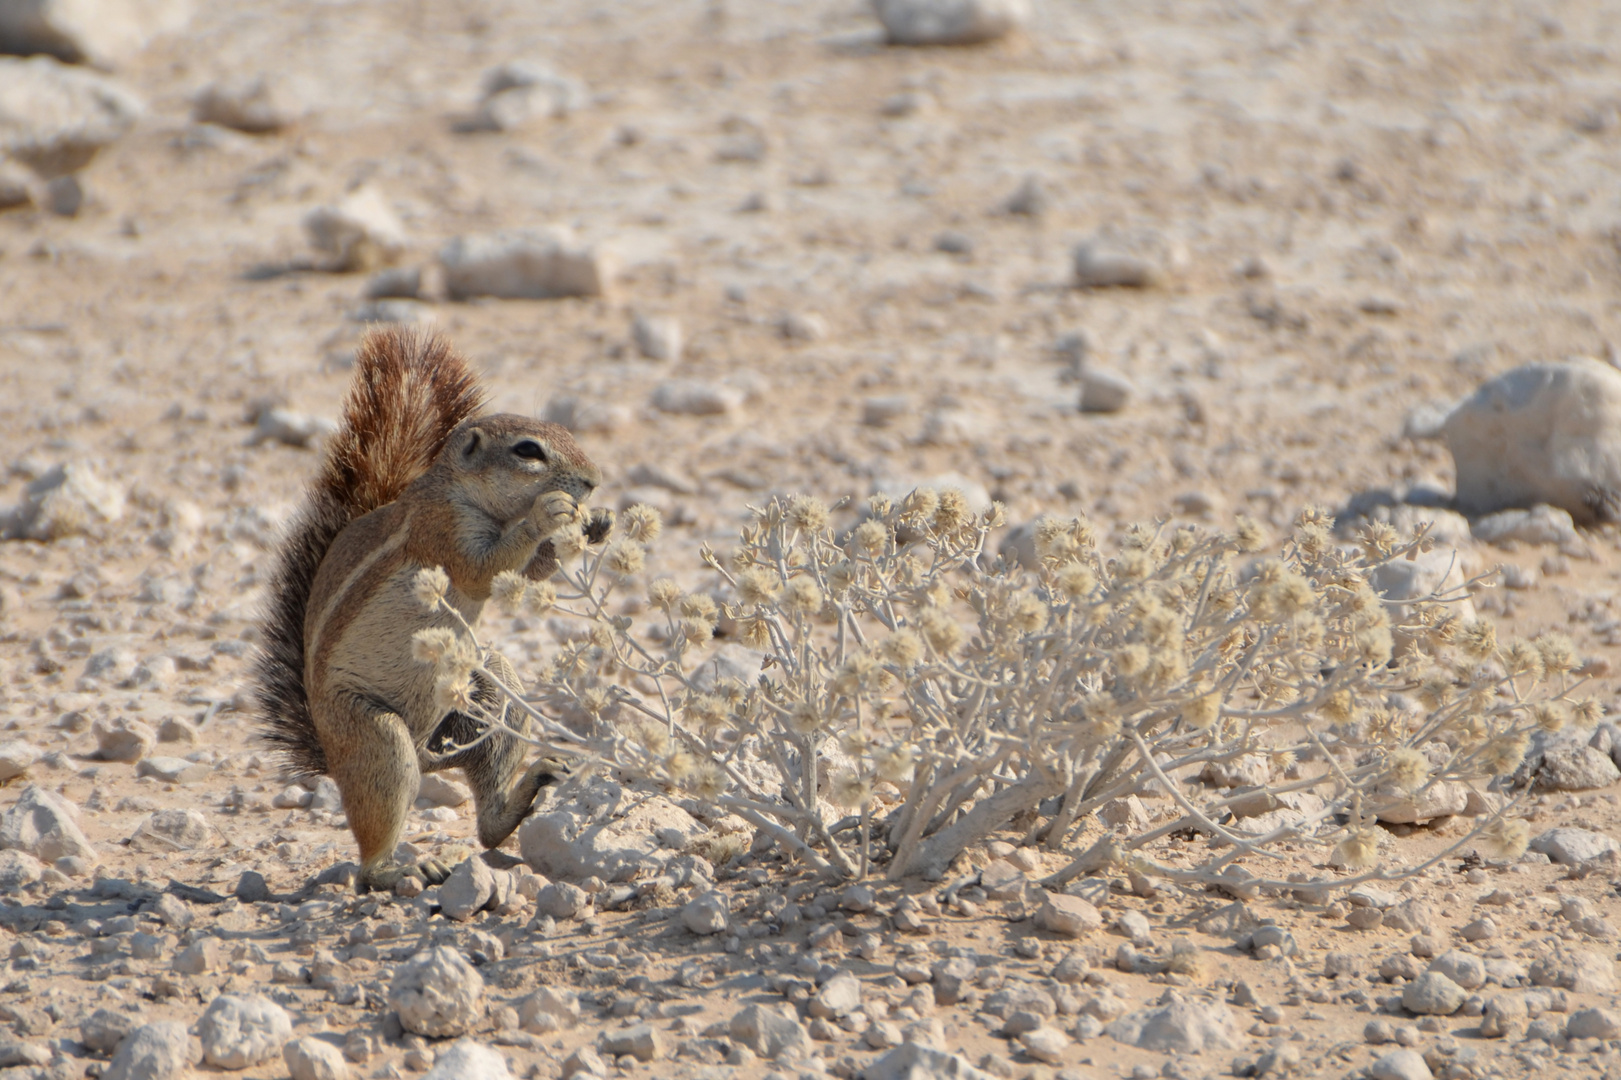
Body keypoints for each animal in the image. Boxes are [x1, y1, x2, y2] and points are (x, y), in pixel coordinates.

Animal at [252, 324, 612, 888]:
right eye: (528, 450)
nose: (594, 479)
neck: (461, 491)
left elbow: (524, 572)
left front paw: (597, 524)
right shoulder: (444, 531)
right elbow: (484, 569)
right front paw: (548, 514)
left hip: (490, 689)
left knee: (487, 814)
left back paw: (524, 791)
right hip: (375, 735)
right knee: (374, 835)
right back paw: (397, 869)